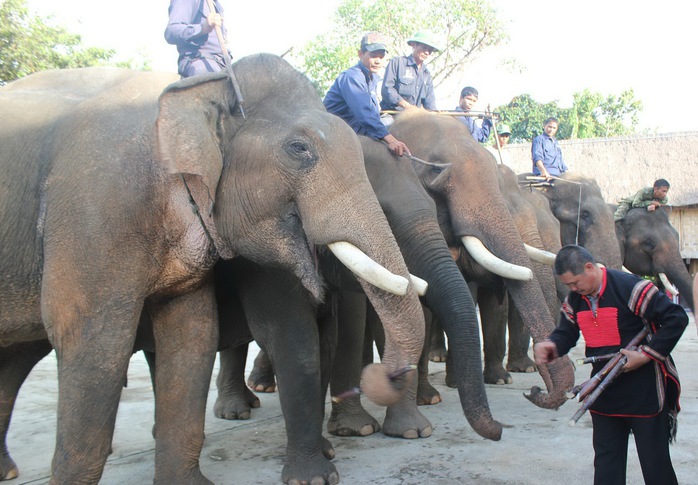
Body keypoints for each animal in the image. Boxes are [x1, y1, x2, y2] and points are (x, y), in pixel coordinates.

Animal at [0, 54, 424, 482]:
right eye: (299, 148)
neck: (207, 87)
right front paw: (315, 476)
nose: (381, 376)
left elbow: (195, 335)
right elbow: (94, 339)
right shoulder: (99, 209)